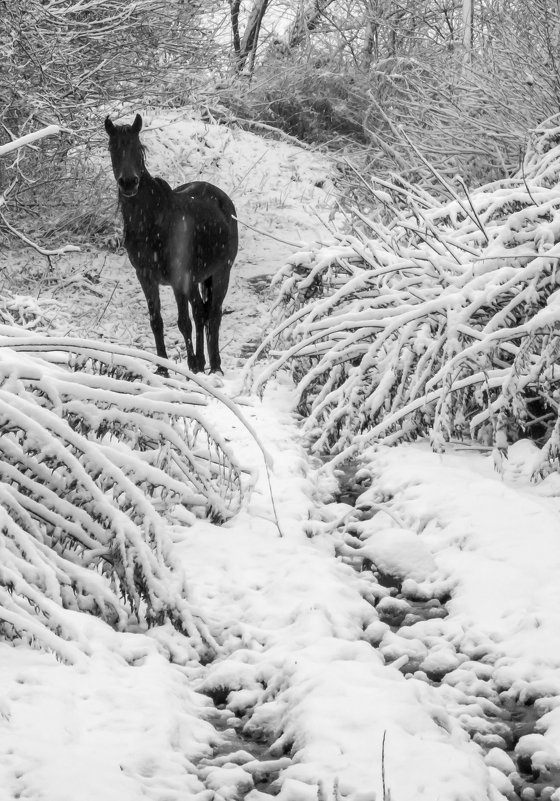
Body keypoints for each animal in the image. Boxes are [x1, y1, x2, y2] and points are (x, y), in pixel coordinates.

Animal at [104, 115, 237, 376]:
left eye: (138, 148)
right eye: (113, 148)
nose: (128, 183)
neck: (151, 221)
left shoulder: (178, 278)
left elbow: (183, 322)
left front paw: (191, 366)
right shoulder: (146, 277)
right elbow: (156, 321)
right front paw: (162, 368)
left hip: (220, 273)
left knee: (213, 315)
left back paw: (215, 368)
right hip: (196, 280)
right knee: (201, 312)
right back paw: (204, 363)